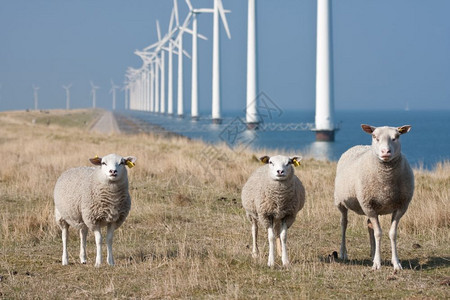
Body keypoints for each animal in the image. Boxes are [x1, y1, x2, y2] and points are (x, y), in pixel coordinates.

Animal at [334, 123, 414, 270]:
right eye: (375, 137)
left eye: (396, 137)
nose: (385, 152)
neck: (386, 182)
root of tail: (359, 145)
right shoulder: (368, 206)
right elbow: (378, 233)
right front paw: (377, 263)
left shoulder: (401, 206)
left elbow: (392, 234)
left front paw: (396, 262)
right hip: (341, 202)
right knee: (344, 223)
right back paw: (343, 252)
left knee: (369, 224)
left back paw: (372, 252)